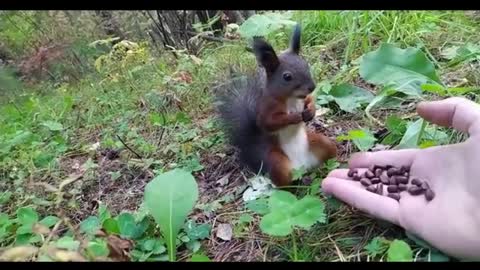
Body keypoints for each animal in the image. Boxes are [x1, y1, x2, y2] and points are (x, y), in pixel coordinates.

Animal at [218, 24, 338, 187]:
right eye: (287, 77)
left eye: (306, 65)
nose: (312, 87)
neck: (292, 99)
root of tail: (303, 166)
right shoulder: (267, 107)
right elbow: (269, 122)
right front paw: (294, 117)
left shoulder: (304, 99)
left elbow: (309, 101)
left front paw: (310, 111)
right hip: (278, 163)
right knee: (284, 182)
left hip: (322, 143)